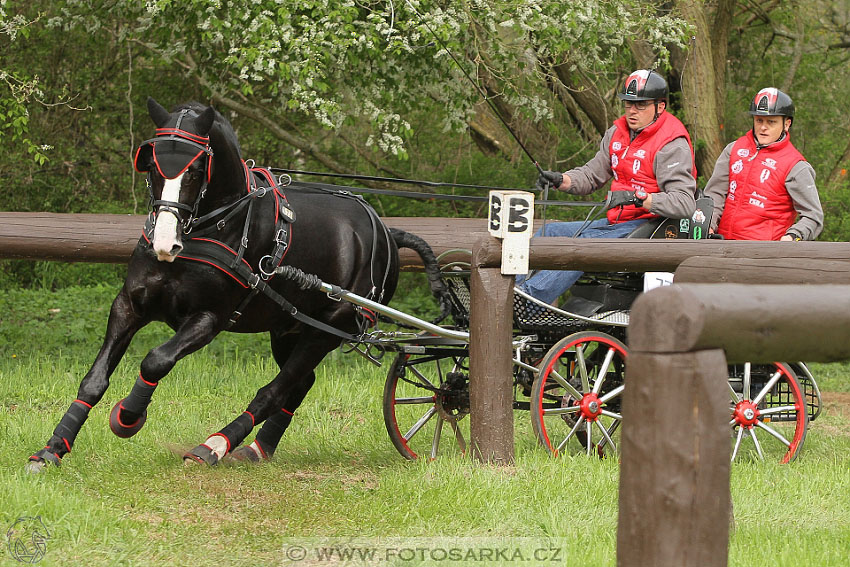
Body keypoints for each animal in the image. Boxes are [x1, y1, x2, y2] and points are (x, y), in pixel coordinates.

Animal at [26, 97, 448, 470]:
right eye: (152, 166)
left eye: (196, 171)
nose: (164, 242)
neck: (209, 227)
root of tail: (387, 233)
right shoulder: (129, 304)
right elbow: (94, 380)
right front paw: (53, 448)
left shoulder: (208, 319)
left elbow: (156, 359)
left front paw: (128, 416)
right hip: (289, 327)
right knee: (300, 384)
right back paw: (258, 448)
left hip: (329, 328)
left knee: (274, 391)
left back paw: (215, 445)